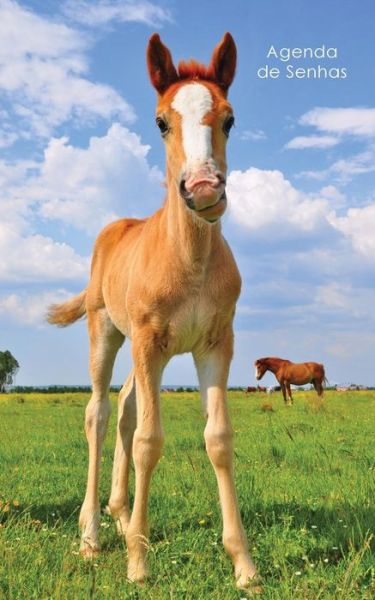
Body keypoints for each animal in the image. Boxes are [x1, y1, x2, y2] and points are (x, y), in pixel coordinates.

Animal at [47, 34, 260, 592]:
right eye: (161, 121)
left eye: (229, 119)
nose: (203, 188)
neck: (189, 260)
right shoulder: (146, 340)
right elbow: (149, 440)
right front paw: (139, 565)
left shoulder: (215, 344)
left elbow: (218, 439)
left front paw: (244, 566)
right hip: (108, 332)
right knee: (100, 413)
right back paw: (93, 536)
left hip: (150, 354)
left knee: (124, 406)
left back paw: (122, 518)